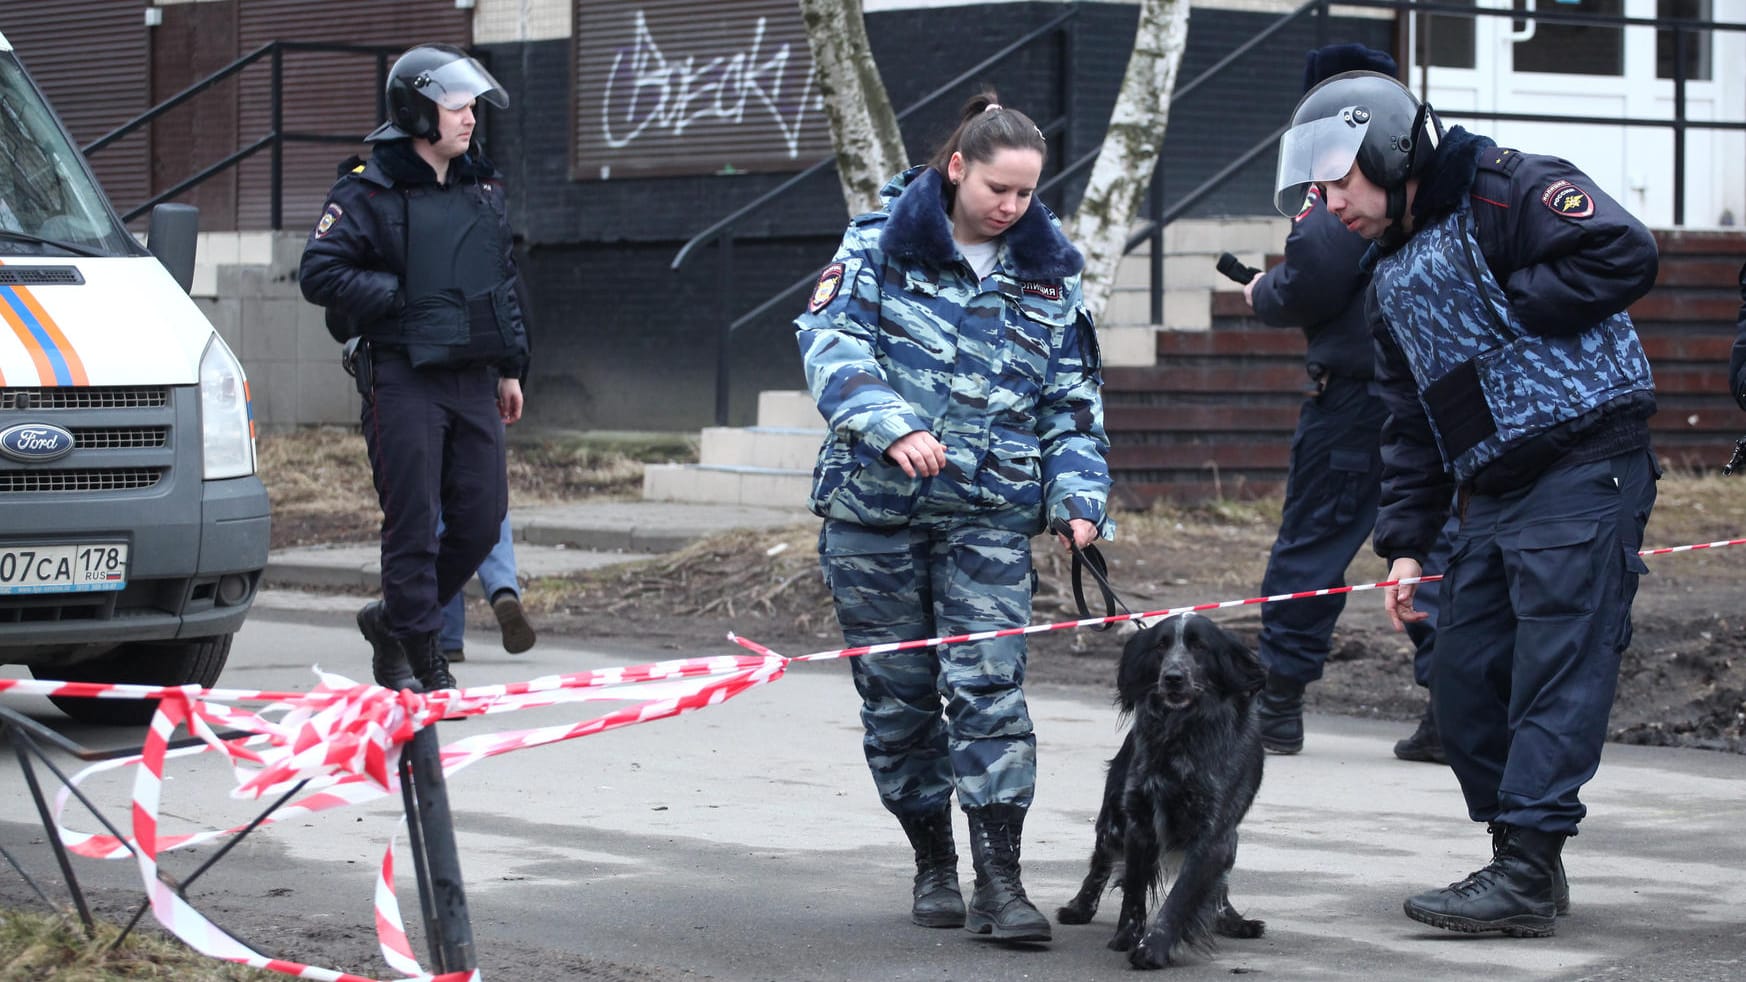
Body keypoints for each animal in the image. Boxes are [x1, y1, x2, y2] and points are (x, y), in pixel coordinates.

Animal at [1054, 611, 1264, 964]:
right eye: (1160, 646)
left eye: (1199, 646)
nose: (1173, 677)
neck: (1180, 735)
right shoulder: (1139, 821)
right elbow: (1134, 893)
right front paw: (1126, 938)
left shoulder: (1212, 832)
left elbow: (1184, 895)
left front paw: (1153, 948)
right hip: (1113, 821)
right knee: (1100, 862)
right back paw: (1079, 908)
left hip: (1230, 839)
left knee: (1218, 886)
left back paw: (1232, 921)